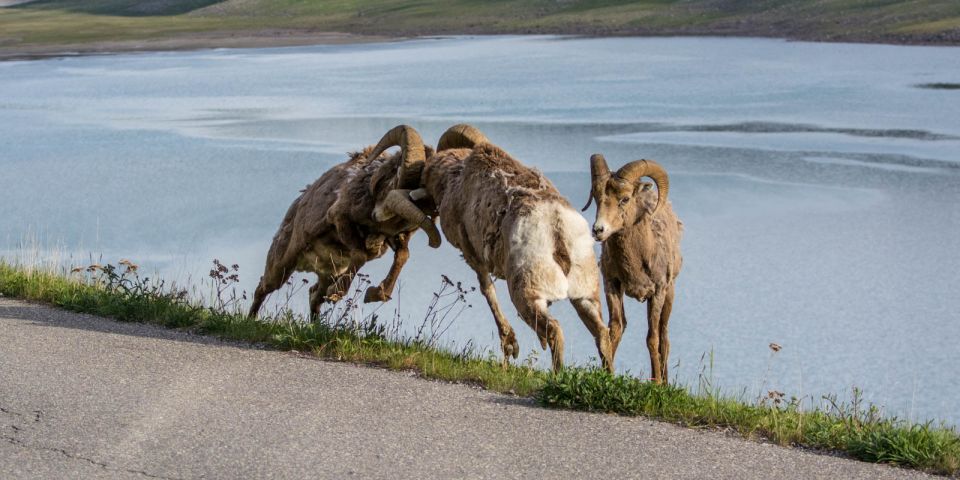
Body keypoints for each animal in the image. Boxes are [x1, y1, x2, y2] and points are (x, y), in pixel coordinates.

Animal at [248, 125, 442, 316]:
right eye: (398, 172)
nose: (377, 214)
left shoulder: (393, 237)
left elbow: (402, 255)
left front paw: (376, 294)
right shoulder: (340, 218)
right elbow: (361, 255)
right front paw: (336, 294)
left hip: (327, 273)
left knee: (314, 295)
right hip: (281, 267)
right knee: (262, 288)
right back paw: (252, 318)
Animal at [372, 124, 612, 372]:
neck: (455, 179)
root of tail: (556, 226)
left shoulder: (472, 254)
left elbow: (487, 289)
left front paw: (510, 346)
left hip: (526, 294)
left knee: (554, 330)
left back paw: (556, 376)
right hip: (586, 295)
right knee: (603, 335)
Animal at [576, 154, 684, 382]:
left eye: (625, 199)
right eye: (597, 196)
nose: (598, 230)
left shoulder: (657, 292)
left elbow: (652, 338)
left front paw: (656, 383)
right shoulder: (613, 285)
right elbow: (615, 329)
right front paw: (607, 374)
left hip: (669, 294)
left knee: (664, 337)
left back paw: (664, 381)